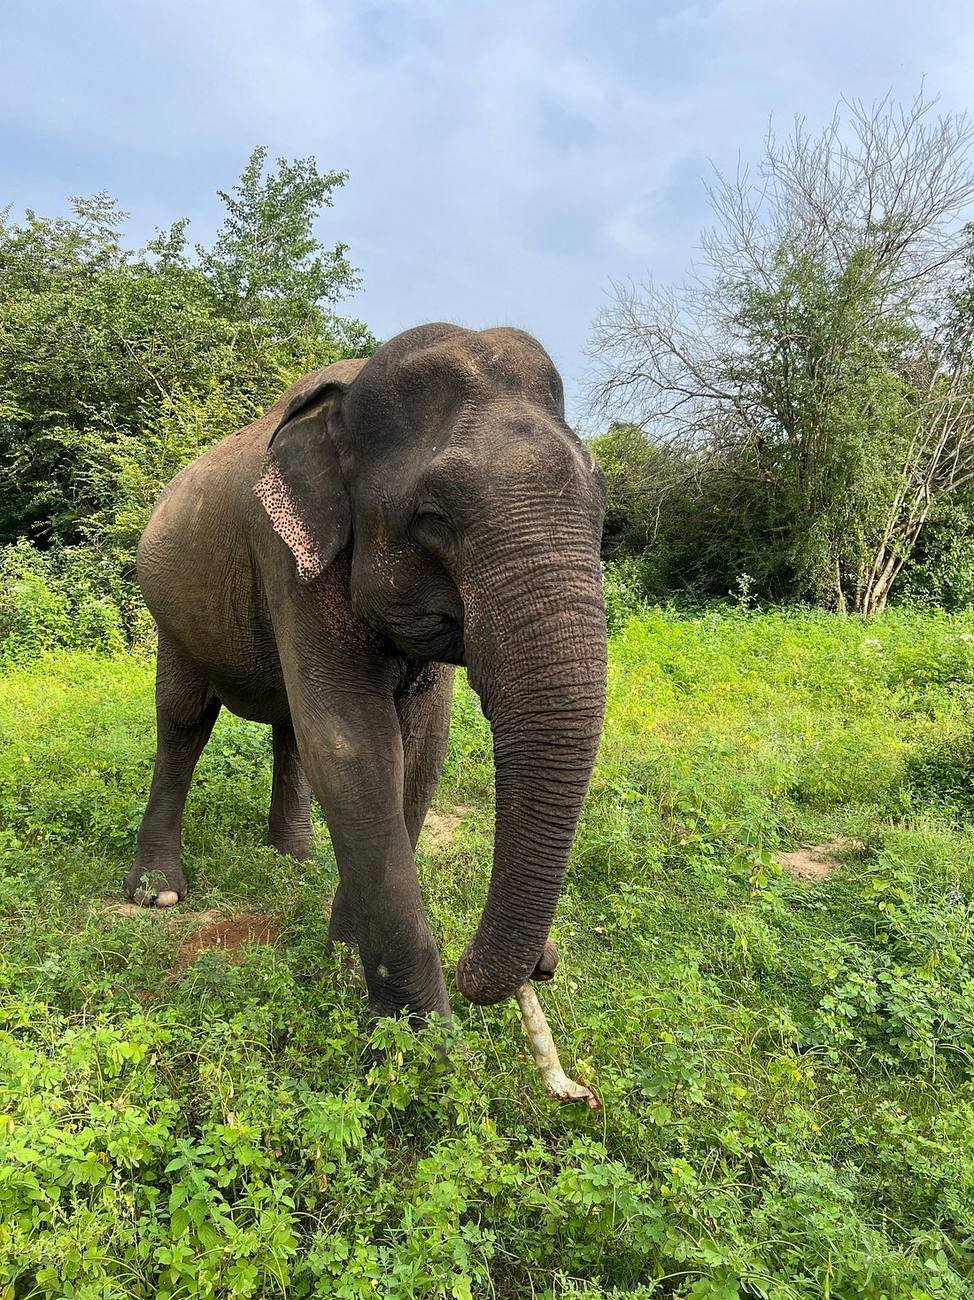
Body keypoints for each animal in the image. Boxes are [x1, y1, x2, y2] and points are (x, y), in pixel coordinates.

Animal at [128, 322, 607, 1021]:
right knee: (185, 718)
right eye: (434, 518)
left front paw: (344, 956)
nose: (542, 965)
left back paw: (297, 859)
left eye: (603, 509)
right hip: (171, 608)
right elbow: (354, 743)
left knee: (289, 730)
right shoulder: (287, 555)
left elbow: (420, 748)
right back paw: (158, 893)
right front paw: (417, 1031)